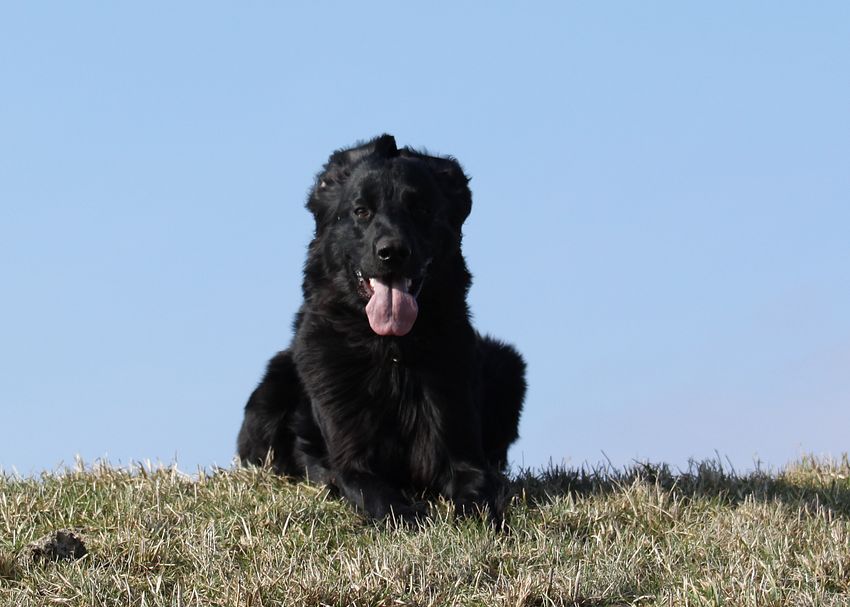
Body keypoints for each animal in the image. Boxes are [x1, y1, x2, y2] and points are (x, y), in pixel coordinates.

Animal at [237, 135, 526, 521]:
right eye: (362, 211)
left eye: (420, 210)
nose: (392, 252)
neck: (392, 353)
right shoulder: (354, 464)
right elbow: (377, 495)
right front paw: (408, 515)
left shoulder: (463, 455)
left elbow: (478, 489)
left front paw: (476, 516)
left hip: (506, 364)